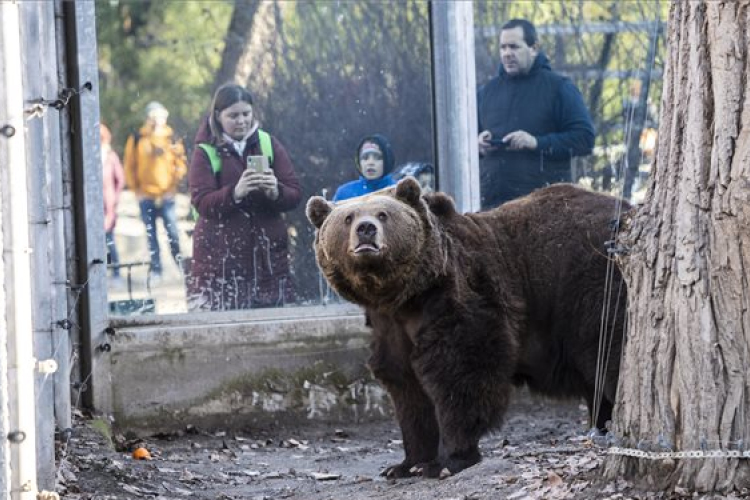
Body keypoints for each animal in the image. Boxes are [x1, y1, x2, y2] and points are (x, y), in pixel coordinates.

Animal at [306, 178, 628, 478]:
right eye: (348, 217)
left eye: (383, 214)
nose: (366, 229)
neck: (403, 297)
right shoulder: (390, 328)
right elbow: (408, 390)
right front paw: (404, 464)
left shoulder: (459, 297)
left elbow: (461, 374)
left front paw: (446, 461)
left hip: (590, 284)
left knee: (611, 355)